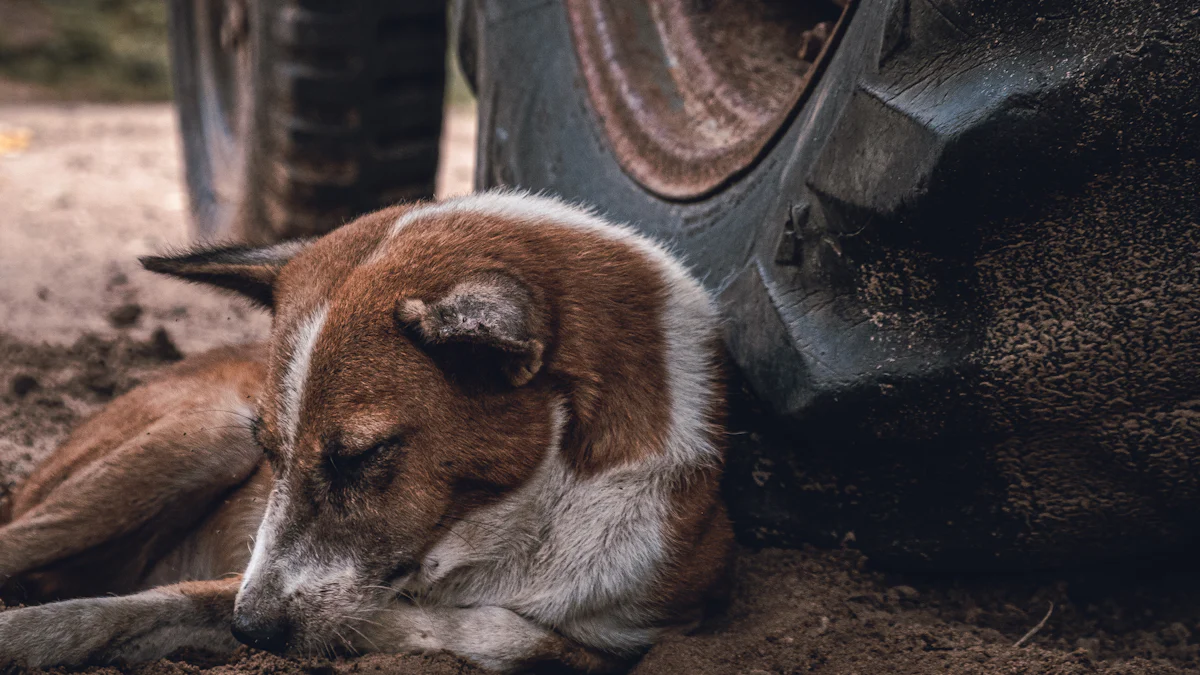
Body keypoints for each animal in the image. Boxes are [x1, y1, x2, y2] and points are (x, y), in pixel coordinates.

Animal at [0, 192, 729, 667]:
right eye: (272, 455)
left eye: (359, 457)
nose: (252, 633)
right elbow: (110, 612)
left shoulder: (639, 631)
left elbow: (515, 636)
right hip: (201, 438)